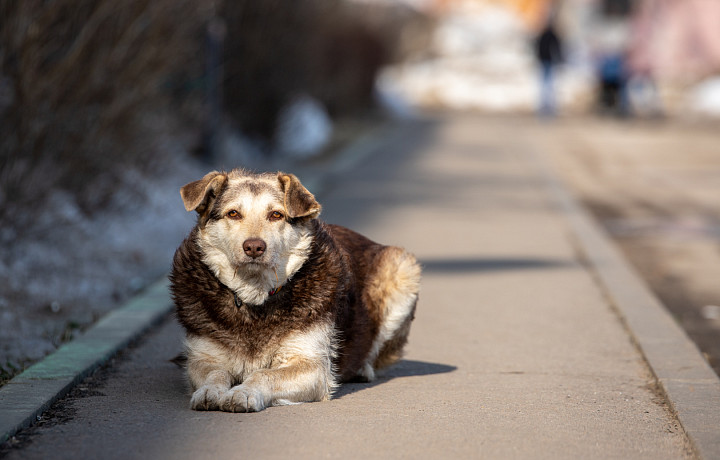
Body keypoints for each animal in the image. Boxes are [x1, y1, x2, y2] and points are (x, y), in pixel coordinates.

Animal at [169, 170, 420, 414]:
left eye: (276, 215)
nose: (254, 247)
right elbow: (215, 373)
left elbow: (263, 374)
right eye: (233, 214)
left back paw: (362, 368)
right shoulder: (203, 358)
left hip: (404, 268)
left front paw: (244, 392)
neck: (255, 296)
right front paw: (209, 391)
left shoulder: (311, 366)